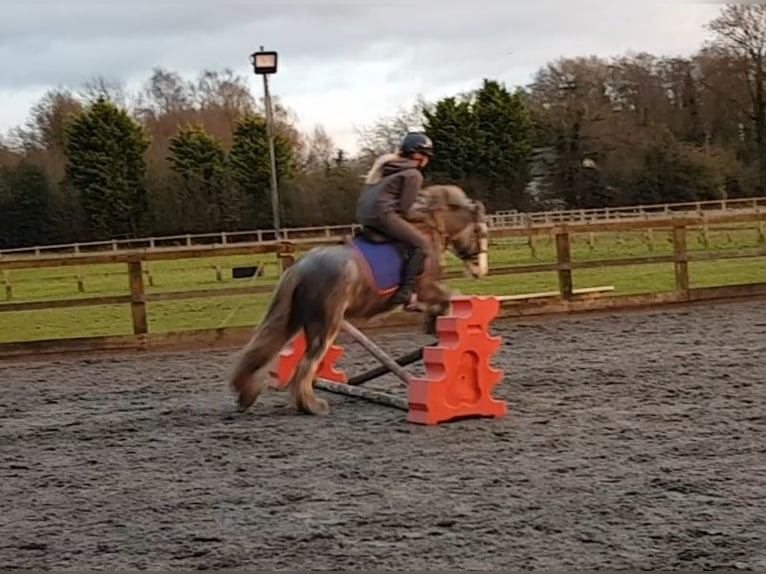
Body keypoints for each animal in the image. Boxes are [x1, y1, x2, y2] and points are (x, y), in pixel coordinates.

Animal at [230, 182, 492, 416]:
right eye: (481, 232)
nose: (481, 271)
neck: (431, 229)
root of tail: (300, 267)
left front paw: (432, 321)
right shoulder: (426, 287)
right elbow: (451, 296)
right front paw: (437, 320)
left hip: (295, 319)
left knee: (266, 351)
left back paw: (251, 394)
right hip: (326, 323)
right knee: (307, 364)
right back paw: (312, 406)